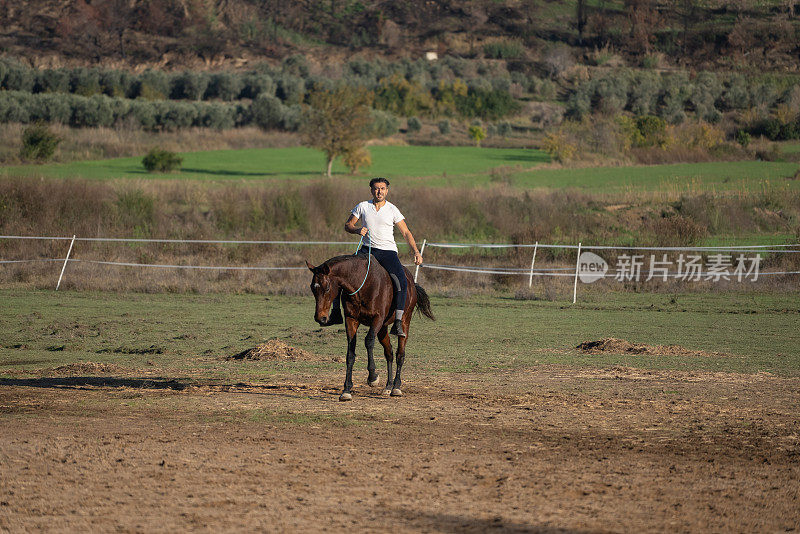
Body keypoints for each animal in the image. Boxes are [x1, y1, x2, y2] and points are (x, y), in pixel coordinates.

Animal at [306, 255, 434, 402]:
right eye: (312, 288)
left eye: (327, 288)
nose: (319, 318)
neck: (361, 284)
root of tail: (412, 283)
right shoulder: (351, 320)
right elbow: (350, 353)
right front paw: (346, 389)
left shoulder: (377, 319)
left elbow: (368, 341)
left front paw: (372, 377)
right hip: (383, 329)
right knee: (389, 353)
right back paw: (388, 386)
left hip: (404, 323)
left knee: (400, 354)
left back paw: (396, 387)